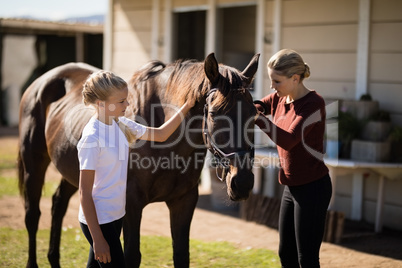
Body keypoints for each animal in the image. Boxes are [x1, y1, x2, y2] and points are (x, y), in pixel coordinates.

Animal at [18, 52, 258, 268]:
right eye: (214, 114)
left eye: (254, 115)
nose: (243, 182)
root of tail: (41, 81)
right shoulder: (131, 203)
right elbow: (132, 255)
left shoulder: (184, 201)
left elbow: (181, 254)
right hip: (34, 164)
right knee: (32, 215)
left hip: (76, 173)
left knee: (58, 204)